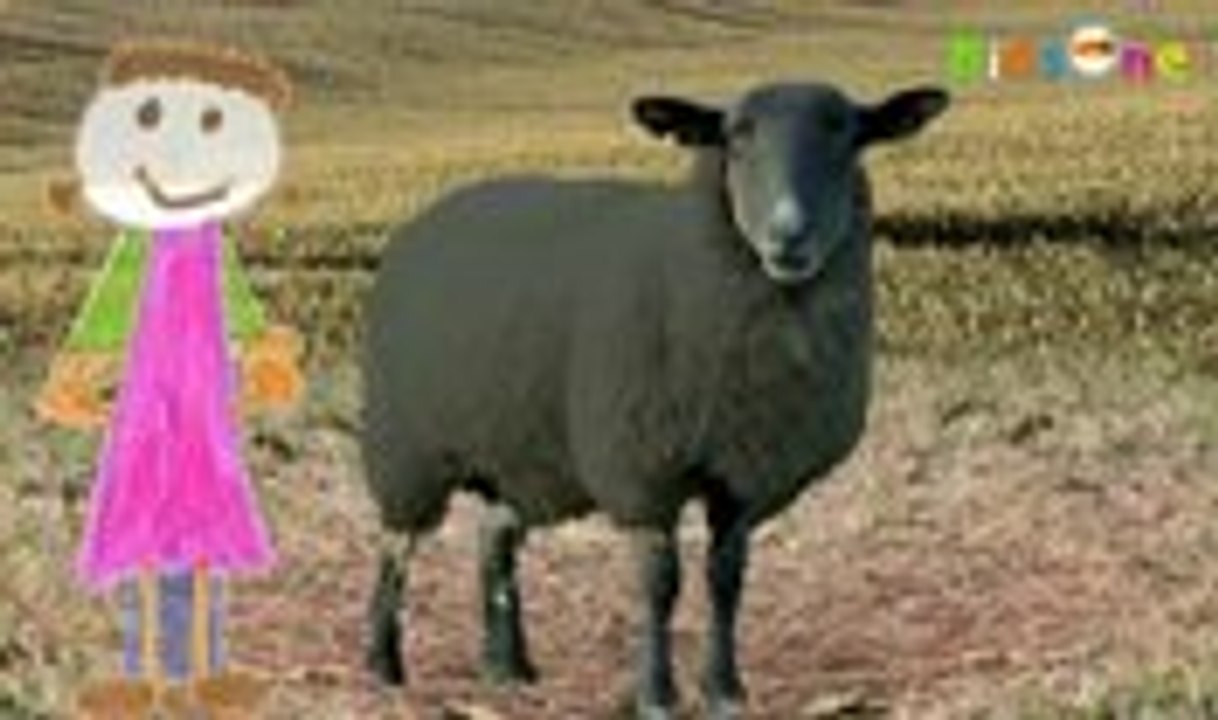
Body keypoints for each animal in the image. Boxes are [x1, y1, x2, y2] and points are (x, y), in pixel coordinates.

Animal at [360, 80, 950, 719]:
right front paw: (657, 694)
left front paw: (724, 689)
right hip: (407, 447)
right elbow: (661, 584)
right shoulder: (643, 470)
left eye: (845, 133)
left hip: (524, 452)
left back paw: (507, 668)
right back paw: (383, 665)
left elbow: (726, 580)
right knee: (395, 546)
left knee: (494, 540)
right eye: (735, 136)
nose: (788, 234)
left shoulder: (743, 479)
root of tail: (428, 217)